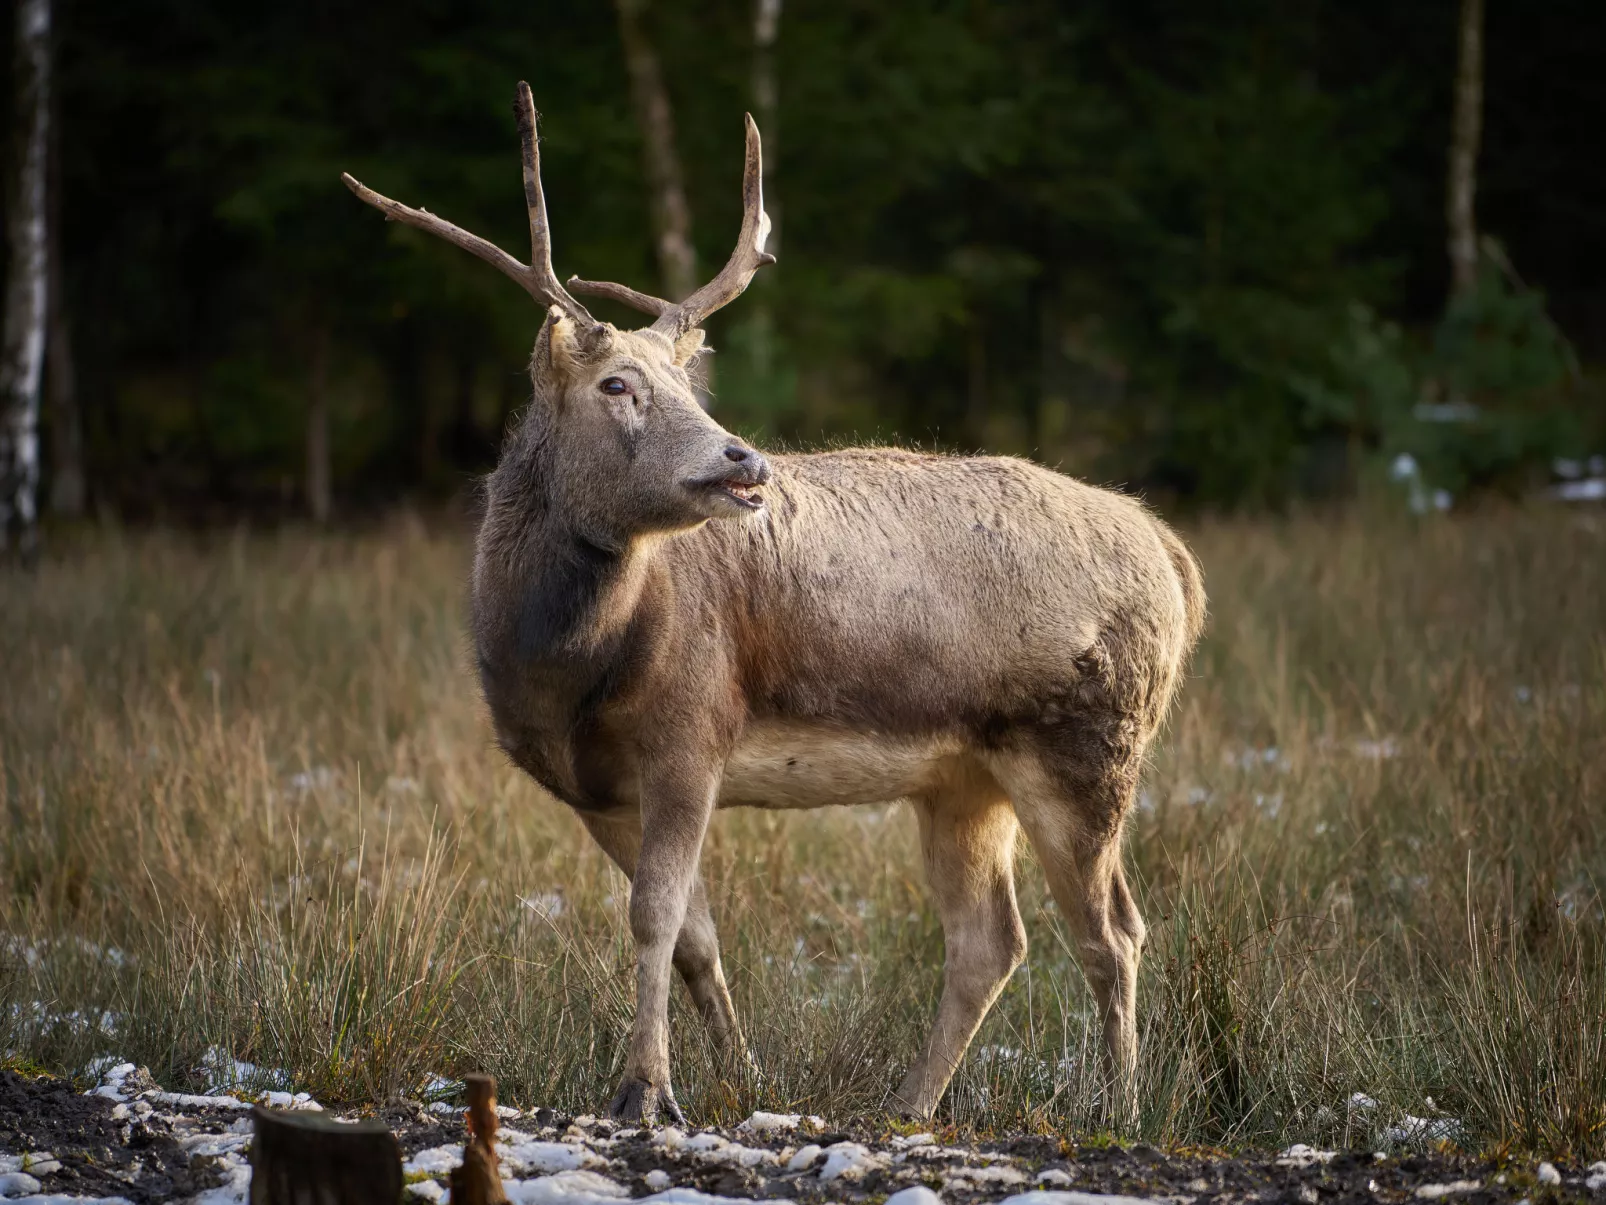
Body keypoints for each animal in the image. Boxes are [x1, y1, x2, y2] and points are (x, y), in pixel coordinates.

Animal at [345, 82, 1201, 1124]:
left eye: (687, 381)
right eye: (617, 382)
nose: (740, 458)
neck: (567, 666)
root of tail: (1172, 556)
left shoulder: (693, 727)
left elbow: (652, 916)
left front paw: (645, 1089)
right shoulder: (594, 788)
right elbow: (692, 937)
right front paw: (740, 1079)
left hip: (1087, 743)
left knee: (1112, 930)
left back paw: (1119, 1107)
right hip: (964, 776)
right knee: (991, 939)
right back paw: (909, 1104)